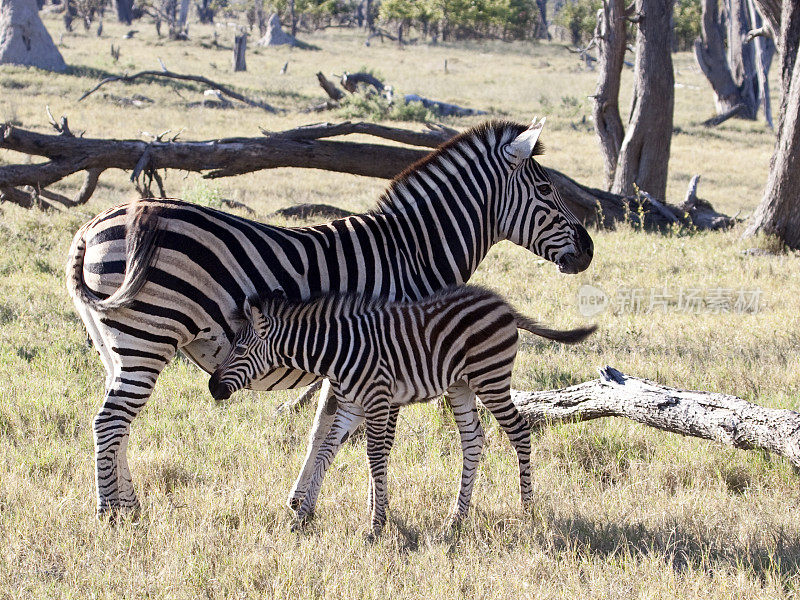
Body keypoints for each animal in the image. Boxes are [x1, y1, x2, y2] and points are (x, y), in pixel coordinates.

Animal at [209, 286, 596, 536]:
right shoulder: (350, 406)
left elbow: (374, 455)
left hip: (491, 378)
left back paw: (526, 509)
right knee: (473, 440)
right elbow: (325, 452)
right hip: (461, 386)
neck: (336, 351)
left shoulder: (378, 401)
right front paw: (302, 516)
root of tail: (502, 305)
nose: (213, 387)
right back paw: (456, 519)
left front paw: (376, 524)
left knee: (519, 431)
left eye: (239, 349)